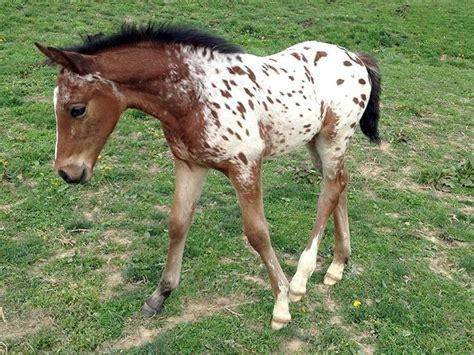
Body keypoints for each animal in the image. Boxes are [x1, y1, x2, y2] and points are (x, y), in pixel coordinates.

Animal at [37, 23, 382, 330]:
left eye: (77, 109)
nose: (68, 172)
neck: (196, 97)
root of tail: (355, 57)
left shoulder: (246, 168)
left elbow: (257, 233)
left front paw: (281, 304)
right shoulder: (189, 165)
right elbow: (178, 223)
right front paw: (160, 294)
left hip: (333, 138)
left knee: (330, 190)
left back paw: (300, 280)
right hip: (316, 142)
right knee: (339, 183)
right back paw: (337, 265)